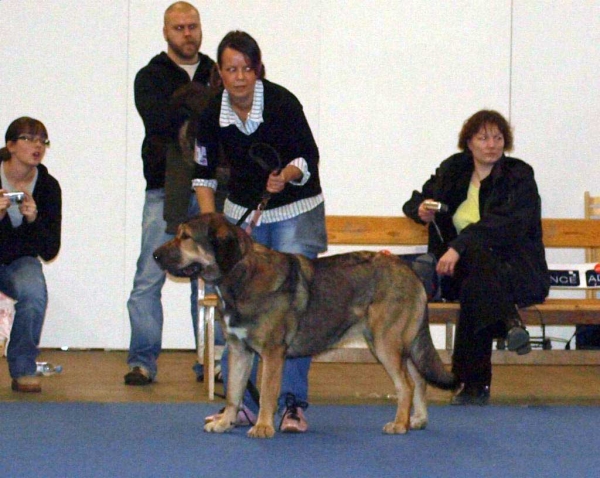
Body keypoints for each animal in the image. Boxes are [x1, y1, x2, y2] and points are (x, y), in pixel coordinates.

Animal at [155, 215, 460, 438]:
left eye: (185, 237)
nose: (155, 255)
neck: (241, 276)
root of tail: (410, 271)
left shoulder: (272, 354)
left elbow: (267, 393)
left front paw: (263, 427)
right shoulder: (240, 351)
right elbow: (234, 393)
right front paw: (225, 422)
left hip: (386, 344)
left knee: (406, 385)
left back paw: (399, 424)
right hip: (397, 344)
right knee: (418, 380)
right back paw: (417, 419)